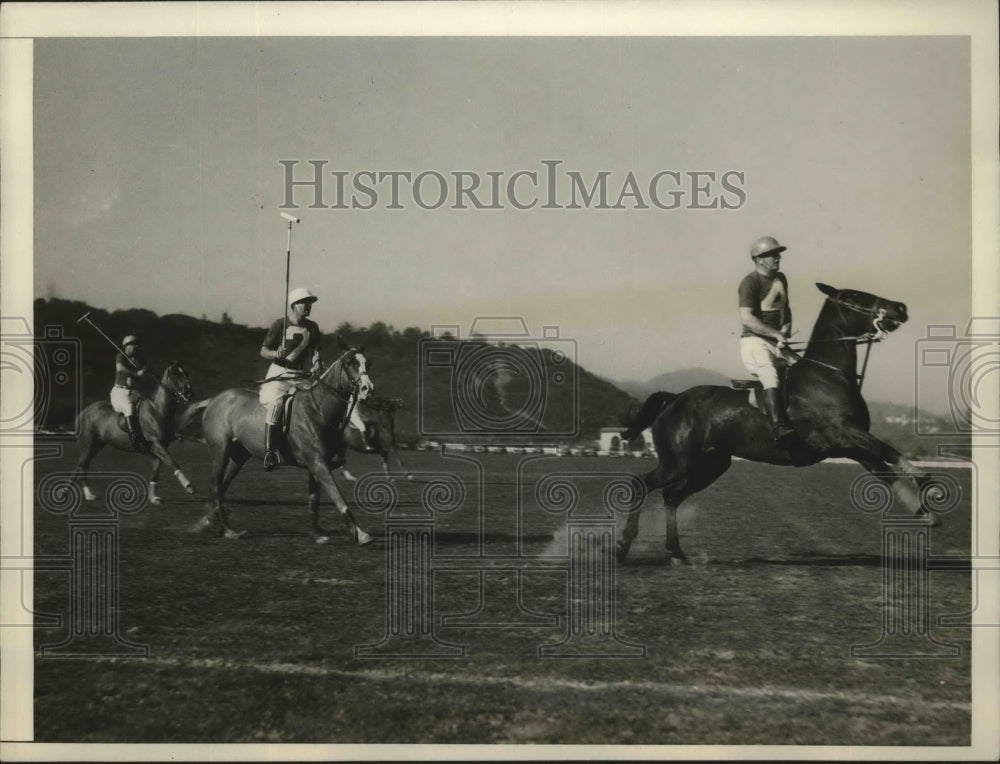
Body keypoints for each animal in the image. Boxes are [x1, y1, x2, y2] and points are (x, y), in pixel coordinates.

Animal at [73, 362, 198, 504]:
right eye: (175, 376)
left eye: (186, 373)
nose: (189, 392)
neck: (158, 410)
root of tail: (83, 412)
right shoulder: (156, 444)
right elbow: (172, 462)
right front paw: (189, 486)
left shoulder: (157, 449)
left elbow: (155, 472)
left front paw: (154, 497)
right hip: (88, 445)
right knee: (82, 466)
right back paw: (89, 494)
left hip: (97, 445)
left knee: (81, 466)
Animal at [198, 346, 376, 544]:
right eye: (349, 362)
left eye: (368, 363)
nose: (367, 389)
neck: (319, 410)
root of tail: (214, 400)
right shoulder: (318, 463)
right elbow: (338, 497)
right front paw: (361, 533)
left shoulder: (316, 465)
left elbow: (314, 499)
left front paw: (316, 533)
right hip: (220, 449)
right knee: (215, 486)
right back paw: (228, 530)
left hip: (239, 455)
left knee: (222, 486)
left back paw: (209, 521)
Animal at [616, 284, 944, 564]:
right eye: (855, 296)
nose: (899, 308)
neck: (829, 376)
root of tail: (674, 399)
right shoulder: (847, 434)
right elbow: (893, 454)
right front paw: (929, 492)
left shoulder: (853, 446)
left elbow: (887, 471)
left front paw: (924, 512)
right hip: (678, 462)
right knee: (640, 485)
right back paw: (623, 546)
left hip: (711, 464)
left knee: (671, 496)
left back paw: (676, 552)